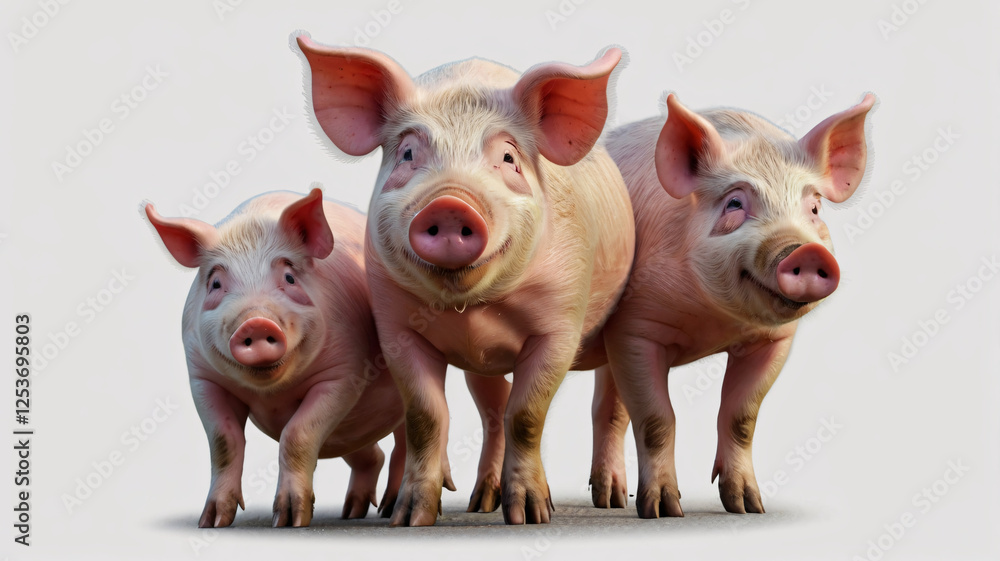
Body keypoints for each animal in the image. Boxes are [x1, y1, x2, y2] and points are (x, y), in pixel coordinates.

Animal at [143, 188, 406, 527]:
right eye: (215, 284)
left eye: (290, 277)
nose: (256, 323)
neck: (271, 392)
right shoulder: (202, 379)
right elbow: (223, 442)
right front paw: (212, 522)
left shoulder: (343, 374)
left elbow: (297, 434)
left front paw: (289, 521)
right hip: (351, 430)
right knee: (371, 455)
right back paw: (351, 513)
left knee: (404, 446)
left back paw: (389, 509)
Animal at [296, 36, 635, 526]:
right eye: (408, 154)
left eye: (509, 158)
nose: (450, 204)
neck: (470, 307)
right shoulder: (396, 326)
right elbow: (426, 416)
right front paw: (408, 518)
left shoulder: (560, 323)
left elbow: (526, 414)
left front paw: (533, 516)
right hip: (481, 364)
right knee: (493, 409)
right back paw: (481, 502)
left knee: (608, 406)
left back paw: (610, 499)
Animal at [591, 93, 875, 517]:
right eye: (735, 203)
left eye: (814, 209)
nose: (805, 251)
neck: (712, 323)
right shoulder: (633, 330)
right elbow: (657, 419)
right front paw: (664, 511)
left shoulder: (774, 340)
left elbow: (742, 417)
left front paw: (748, 506)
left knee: (608, 410)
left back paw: (610, 501)